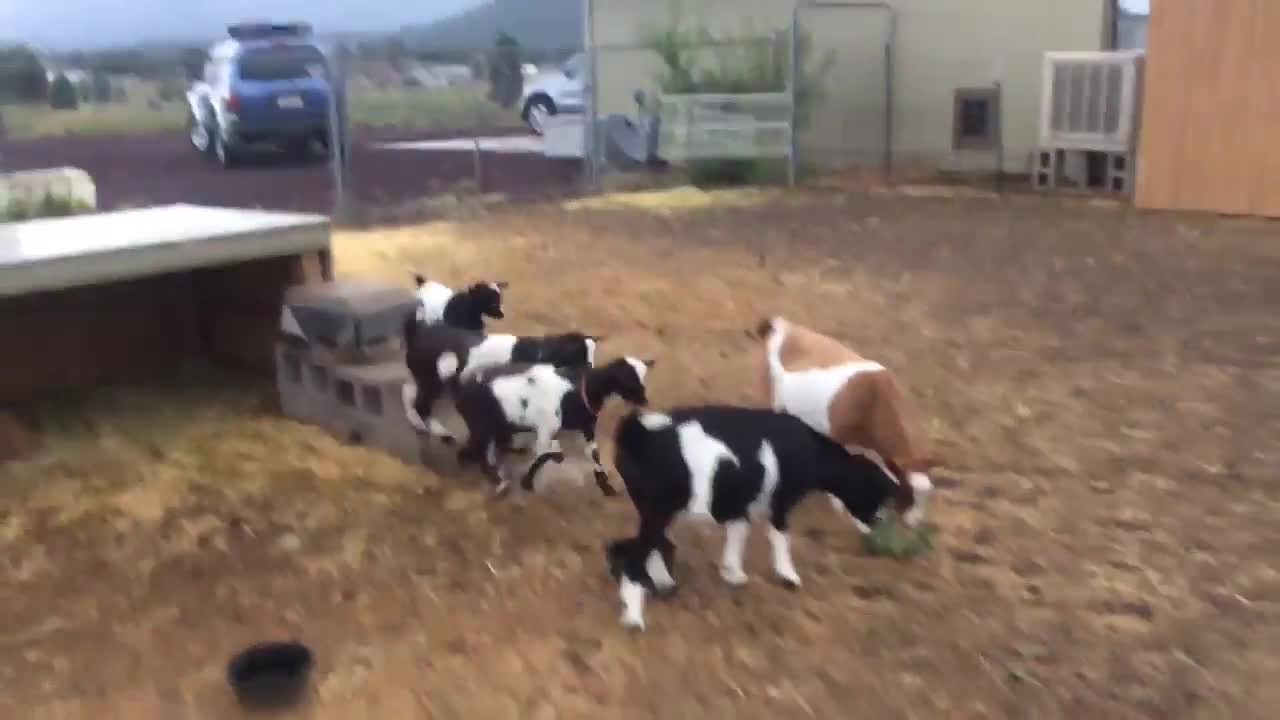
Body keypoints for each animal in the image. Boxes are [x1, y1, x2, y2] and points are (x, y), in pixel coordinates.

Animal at [401, 317, 601, 443]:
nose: (591, 369)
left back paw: (417, 423)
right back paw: (440, 432)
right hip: (436, 375)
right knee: (421, 403)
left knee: (408, 392)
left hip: (422, 376)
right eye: (580, 355)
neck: (540, 351)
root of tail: (415, 334)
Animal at [453, 356, 655, 497]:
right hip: (483, 426)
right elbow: (545, 453)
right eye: (628, 377)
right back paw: (498, 480)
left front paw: (605, 483)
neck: (577, 392)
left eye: (643, 376)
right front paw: (527, 481)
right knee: (480, 453)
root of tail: (464, 389)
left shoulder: (586, 426)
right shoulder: (545, 428)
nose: (644, 401)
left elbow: (593, 453)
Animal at [604, 404, 906, 627]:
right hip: (659, 508)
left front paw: (732, 572)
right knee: (635, 553)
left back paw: (663, 583)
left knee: (639, 545)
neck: (810, 451)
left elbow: (740, 531)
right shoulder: (781, 500)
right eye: (878, 494)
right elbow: (780, 536)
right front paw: (788, 576)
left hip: (653, 508)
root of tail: (637, 433)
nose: (878, 524)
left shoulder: (739, 501)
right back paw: (634, 617)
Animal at [747, 313, 942, 527]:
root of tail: (779, 326)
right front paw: (839, 502)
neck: (873, 401)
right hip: (776, 400)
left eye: (928, 494)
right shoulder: (845, 442)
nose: (914, 522)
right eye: (907, 493)